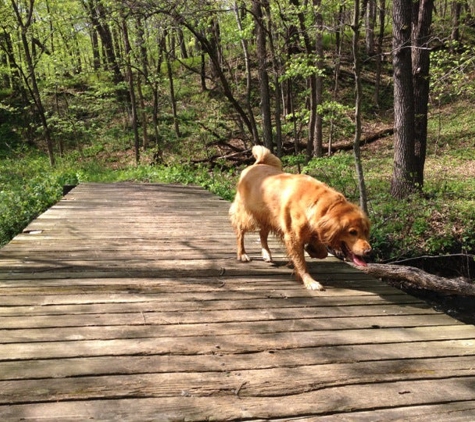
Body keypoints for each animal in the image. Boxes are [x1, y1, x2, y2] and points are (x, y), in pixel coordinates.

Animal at [230, 146, 372, 290]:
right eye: (352, 232)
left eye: (365, 231)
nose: (368, 252)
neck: (321, 204)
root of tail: (255, 165)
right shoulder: (293, 237)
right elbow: (301, 262)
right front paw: (309, 281)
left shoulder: (313, 232)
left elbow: (322, 253)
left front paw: (310, 251)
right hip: (247, 215)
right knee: (240, 232)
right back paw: (242, 254)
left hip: (268, 217)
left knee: (262, 233)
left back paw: (267, 253)